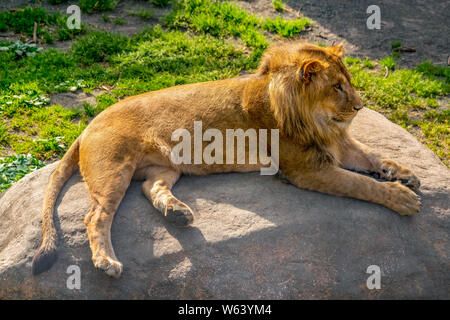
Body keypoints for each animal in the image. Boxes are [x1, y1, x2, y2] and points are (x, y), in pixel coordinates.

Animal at [32, 42, 422, 278]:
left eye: (349, 82)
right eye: (337, 87)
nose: (359, 106)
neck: (316, 119)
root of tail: (88, 124)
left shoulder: (337, 144)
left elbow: (373, 155)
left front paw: (406, 174)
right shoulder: (307, 169)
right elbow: (362, 183)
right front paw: (403, 198)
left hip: (166, 167)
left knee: (149, 188)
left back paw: (177, 213)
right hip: (114, 169)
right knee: (95, 216)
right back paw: (107, 262)